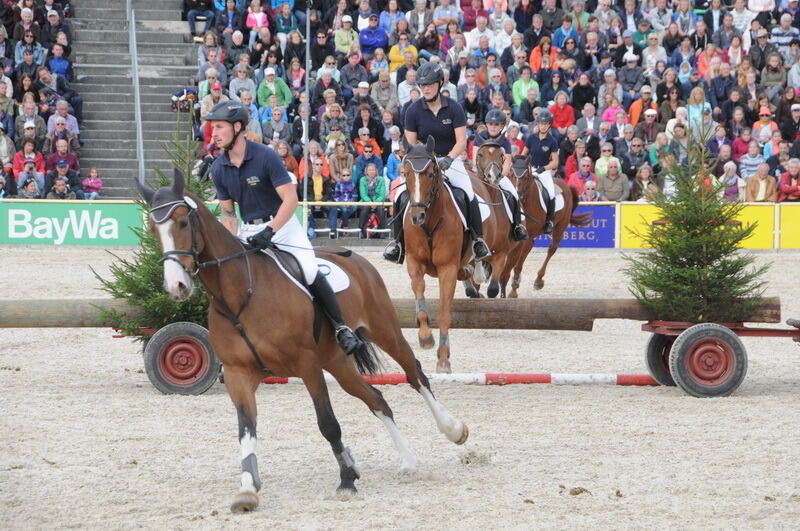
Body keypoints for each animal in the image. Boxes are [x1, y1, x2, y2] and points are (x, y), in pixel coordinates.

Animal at [138, 171, 468, 516]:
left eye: (182, 223)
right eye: (153, 229)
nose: (176, 286)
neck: (240, 295)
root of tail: (357, 259)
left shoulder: (307, 366)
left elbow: (328, 424)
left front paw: (347, 480)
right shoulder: (239, 374)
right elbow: (246, 430)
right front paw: (247, 491)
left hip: (384, 331)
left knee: (415, 375)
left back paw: (453, 429)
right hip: (336, 362)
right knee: (377, 399)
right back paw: (408, 461)